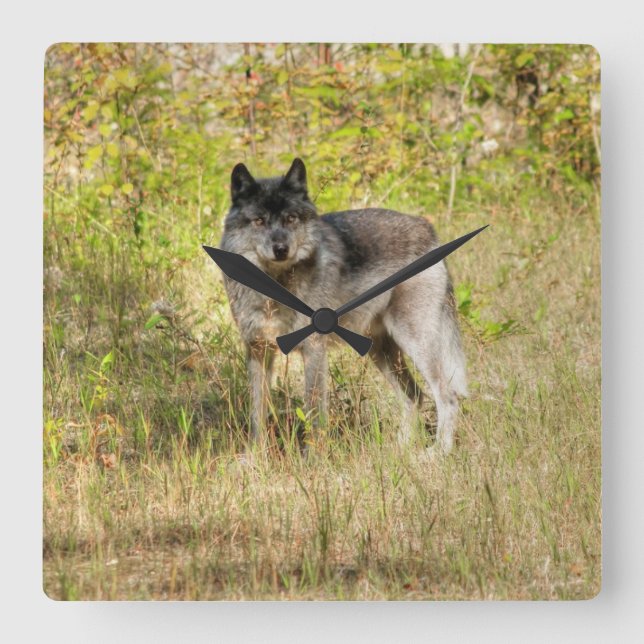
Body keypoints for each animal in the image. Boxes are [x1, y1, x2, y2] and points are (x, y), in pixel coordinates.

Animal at [219, 158, 467, 453]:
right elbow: (257, 413)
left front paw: (312, 459)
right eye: (259, 221)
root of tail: (427, 227)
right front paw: (255, 457)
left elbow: (315, 415)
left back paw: (437, 454)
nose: (281, 249)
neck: (273, 287)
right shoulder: (258, 350)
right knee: (414, 397)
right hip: (381, 352)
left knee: (447, 395)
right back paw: (398, 452)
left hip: (414, 342)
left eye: (291, 218)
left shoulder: (314, 350)